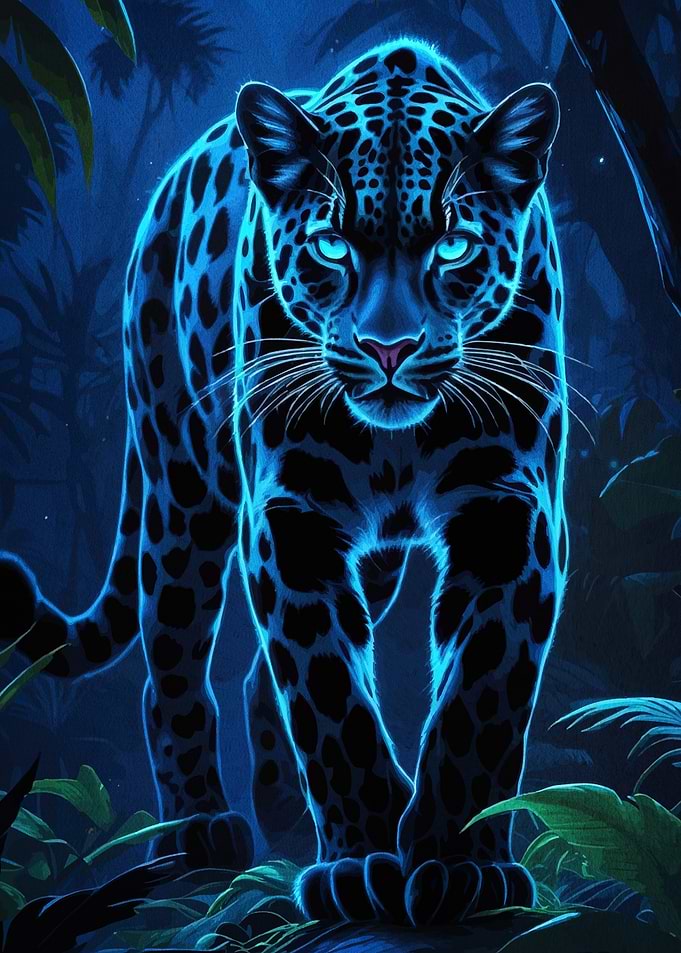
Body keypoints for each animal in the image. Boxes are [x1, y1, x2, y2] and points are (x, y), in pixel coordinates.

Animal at [1, 38, 568, 925]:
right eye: (332, 246)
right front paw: (363, 859)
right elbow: (328, 691)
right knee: (172, 663)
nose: (388, 347)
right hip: (182, 490)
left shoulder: (508, 512)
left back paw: (283, 807)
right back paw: (200, 827)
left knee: (259, 678)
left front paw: (458, 862)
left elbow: (481, 698)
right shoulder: (290, 512)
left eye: (453, 247)